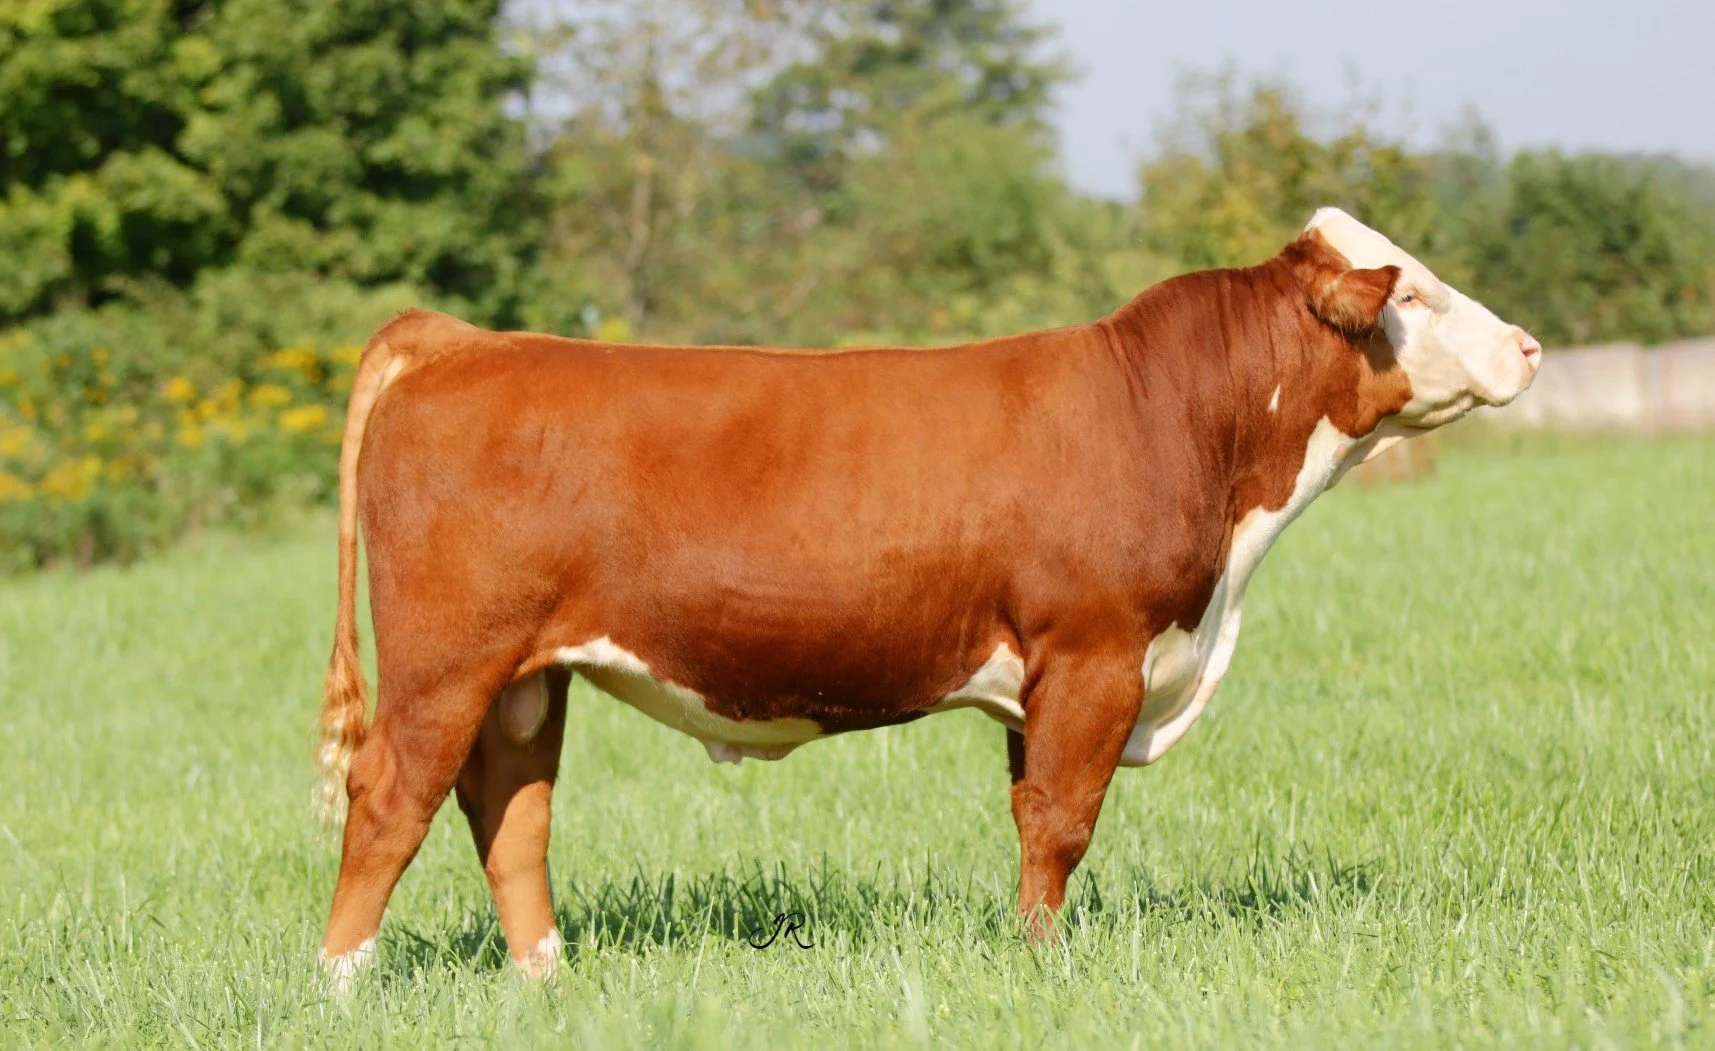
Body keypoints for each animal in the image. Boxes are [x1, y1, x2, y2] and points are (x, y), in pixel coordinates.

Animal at [312, 208, 1541, 986]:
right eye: (1415, 292)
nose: (1528, 344)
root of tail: (457, 338)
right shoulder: (1094, 654)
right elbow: (1061, 822)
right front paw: (1047, 969)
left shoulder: (1053, 676)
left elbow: (1034, 814)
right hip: (445, 660)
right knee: (390, 799)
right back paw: (341, 983)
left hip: (525, 674)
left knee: (510, 813)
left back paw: (547, 982)